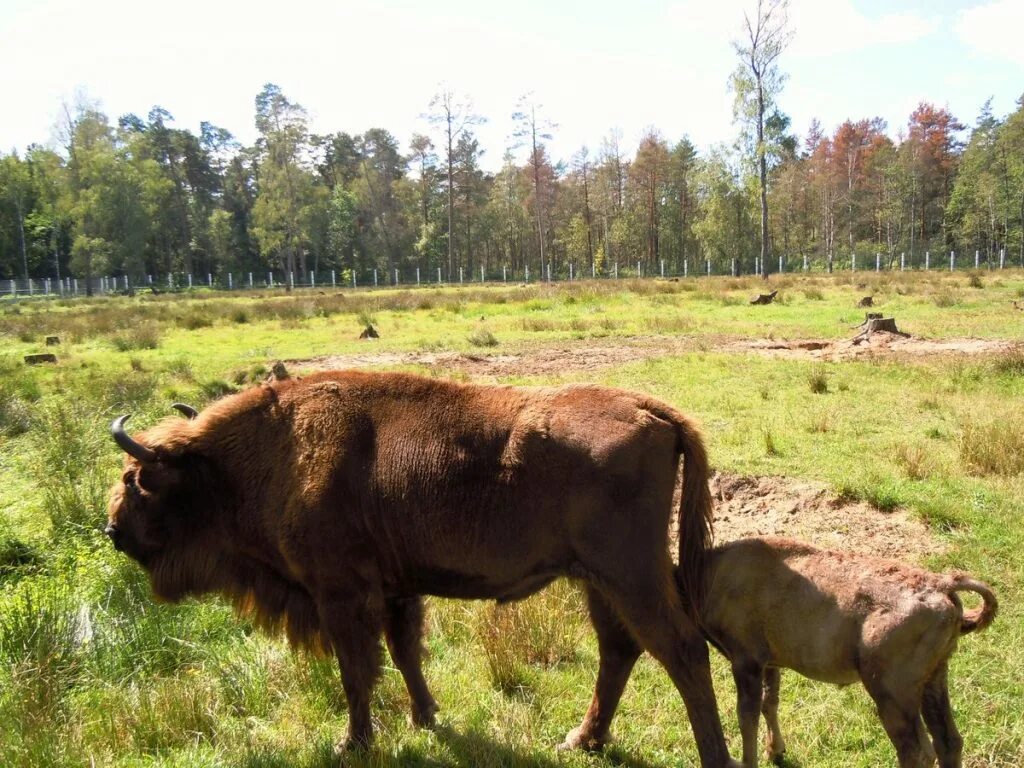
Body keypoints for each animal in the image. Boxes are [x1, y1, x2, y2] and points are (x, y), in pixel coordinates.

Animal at [105, 370, 737, 765]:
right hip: (597, 580)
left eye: (137, 482)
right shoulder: (396, 591)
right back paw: (581, 741)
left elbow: (356, 671)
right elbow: (405, 652)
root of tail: (653, 410)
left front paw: (352, 744)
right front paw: (425, 717)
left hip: (630, 575)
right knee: (619, 650)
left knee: (681, 649)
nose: (113, 532)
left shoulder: (340, 595)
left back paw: (714, 756)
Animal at [700, 536, 995, 765]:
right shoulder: (770, 661)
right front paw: (775, 751)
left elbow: (746, 716)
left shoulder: (745, 659)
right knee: (948, 741)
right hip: (934, 676)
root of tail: (943, 585)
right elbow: (769, 702)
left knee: (918, 752)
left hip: (893, 691)